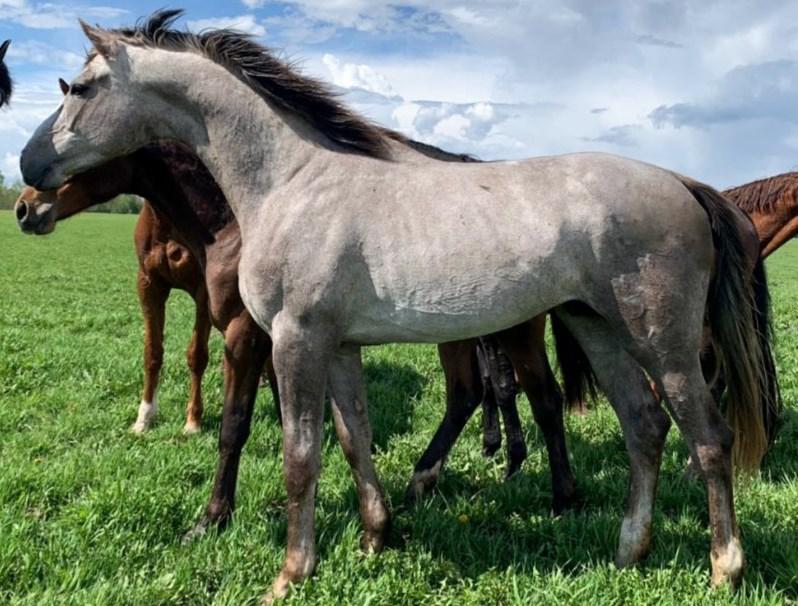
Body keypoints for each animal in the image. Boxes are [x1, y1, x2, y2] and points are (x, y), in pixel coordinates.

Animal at [20, 11, 776, 601]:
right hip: (599, 330)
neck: (291, 182)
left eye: (79, 88)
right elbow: (353, 438)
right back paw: (627, 552)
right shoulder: (340, 346)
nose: (27, 178)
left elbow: (300, 454)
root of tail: (683, 181)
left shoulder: (295, 340)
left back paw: (724, 568)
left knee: (707, 439)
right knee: (645, 427)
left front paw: (291, 573)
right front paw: (375, 538)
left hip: (663, 342)